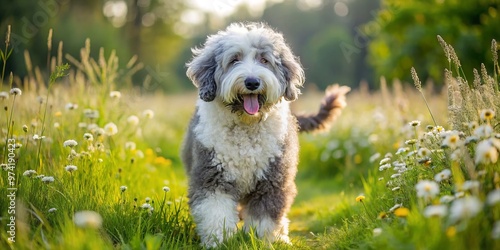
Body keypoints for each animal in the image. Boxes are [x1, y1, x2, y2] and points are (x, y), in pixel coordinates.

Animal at [182, 22, 350, 248]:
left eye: (264, 60)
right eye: (234, 60)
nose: (252, 82)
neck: (247, 127)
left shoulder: (272, 179)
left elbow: (265, 216)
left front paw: (265, 240)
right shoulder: (212, 177)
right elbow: (216, 213)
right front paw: (221, 241)